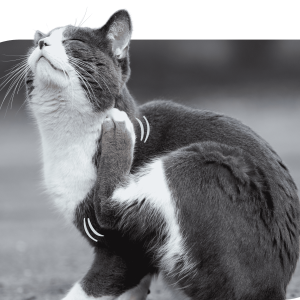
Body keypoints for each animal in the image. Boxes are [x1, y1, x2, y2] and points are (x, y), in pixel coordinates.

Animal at [21, 8, 300, 300]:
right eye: (38, 41)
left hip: (205, 162)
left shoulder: (123, 251)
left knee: (110, 206)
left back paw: (120, 131)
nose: (41, 43)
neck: (68, 139)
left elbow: (92, 286)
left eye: (74, 42)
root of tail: (275, 287)